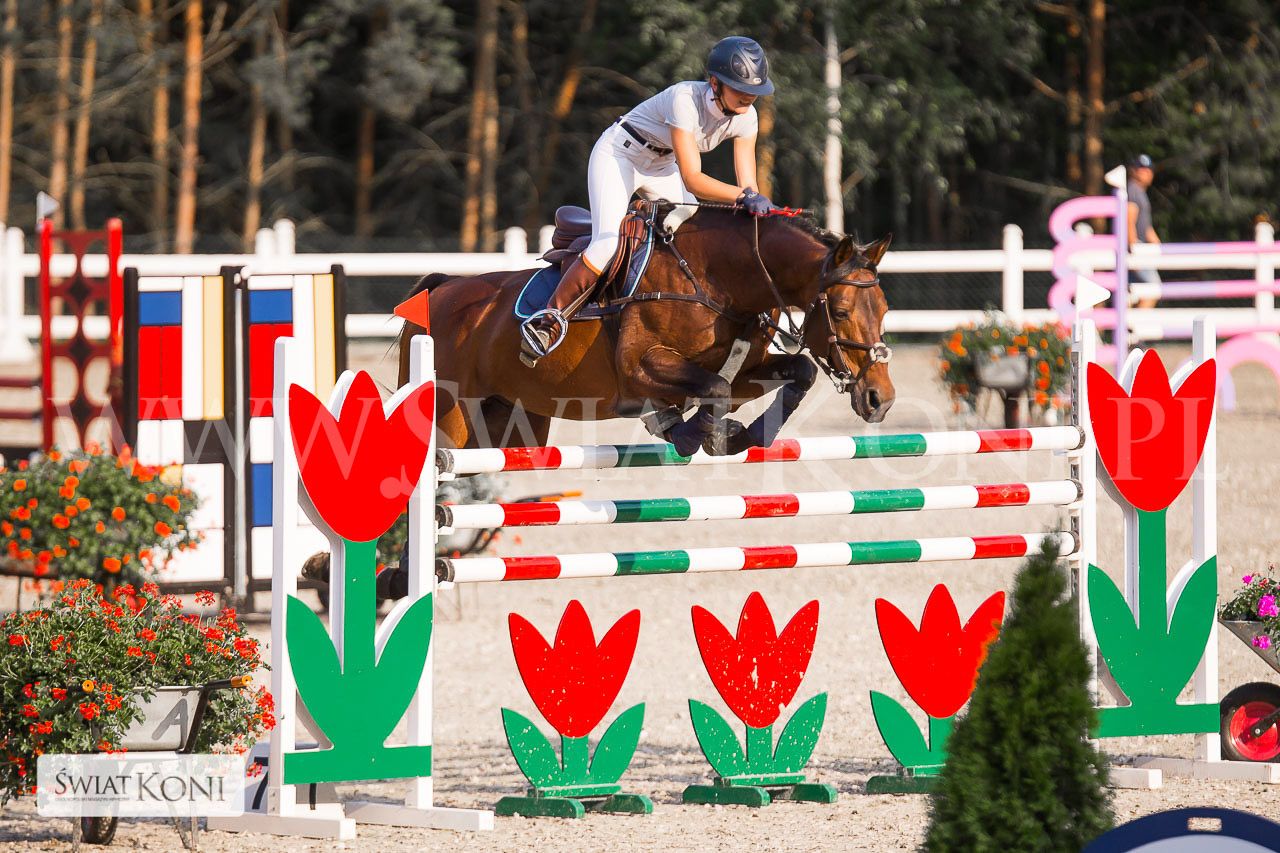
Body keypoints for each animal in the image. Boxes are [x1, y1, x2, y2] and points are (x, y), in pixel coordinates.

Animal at [395, 206, 894, 457]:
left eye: (886, 309)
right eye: (842, 310)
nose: (881, 399)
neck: (719, 280)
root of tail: (442, 289)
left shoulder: (745, 371)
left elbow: (796, 372)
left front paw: (740, 435)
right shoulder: (640, 367)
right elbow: (710, 388)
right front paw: (701, 436)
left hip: (513, 423)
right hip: (452, 417)